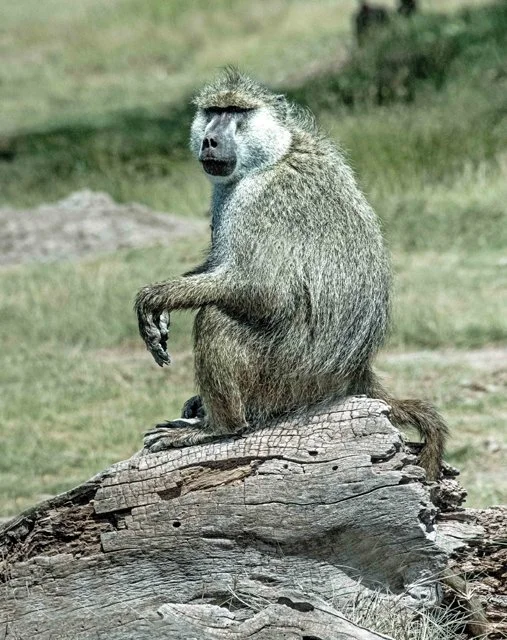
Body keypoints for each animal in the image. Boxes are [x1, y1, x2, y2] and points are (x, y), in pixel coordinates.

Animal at [135, 68, 448, 480]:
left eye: (236, 112)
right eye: (213, 111)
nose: (210, 139)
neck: (275, 153)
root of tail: (355, 373)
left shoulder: (261, 199)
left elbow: (267, 291)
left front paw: (158, 296)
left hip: (290, 377)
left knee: (216, 318)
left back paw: (218, 428)